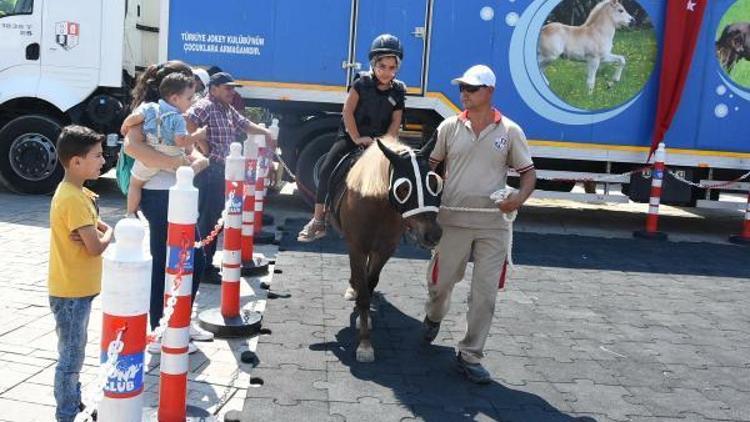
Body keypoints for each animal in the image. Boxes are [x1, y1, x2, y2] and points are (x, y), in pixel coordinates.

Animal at [328, 138, 444, 362]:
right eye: (403, 188)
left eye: (434, 183)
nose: (433, 235)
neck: (378, 207)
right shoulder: (357, 247)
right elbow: (364, 292)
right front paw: (365, 345)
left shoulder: (384, 250)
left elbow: (370, 284)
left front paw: (364, 324)